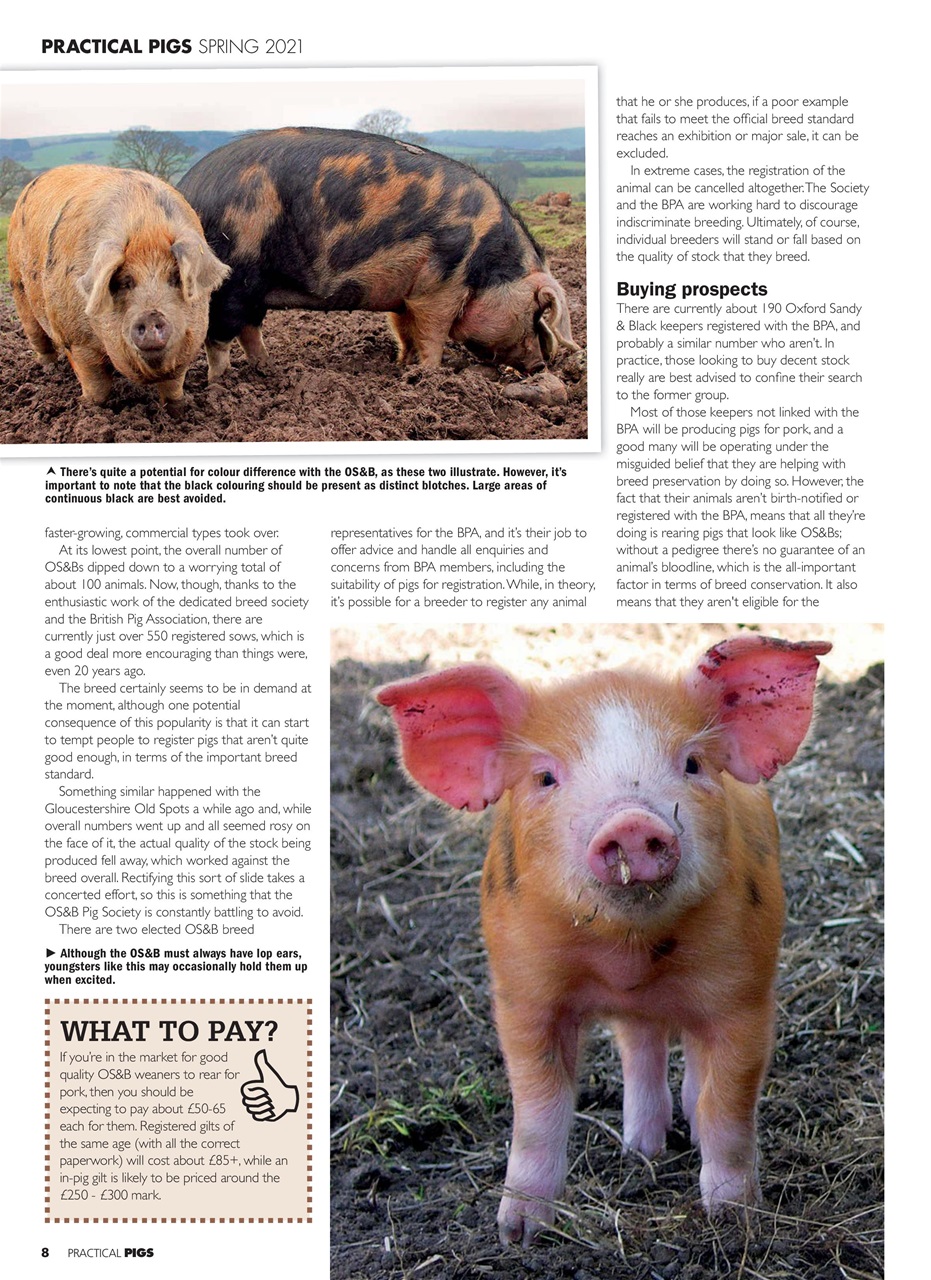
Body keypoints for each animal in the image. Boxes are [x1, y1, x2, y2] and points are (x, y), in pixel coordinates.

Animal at [7, 165, 229, 411]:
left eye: (175, 278)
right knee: (37, 336)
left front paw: (178, 410)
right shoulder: (78, 341)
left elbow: (173, 385)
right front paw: (89, 407)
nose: (151, 315)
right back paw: (49, 369)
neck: (145, 223)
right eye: (125, 282)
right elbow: (96, 384)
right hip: (18, 285)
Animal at [176, 128, 579, 383]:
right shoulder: (440, 288)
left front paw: (403, 366)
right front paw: (432, 375)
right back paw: (222, 385)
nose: (541, 365)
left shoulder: (406, 294)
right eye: (537, 312)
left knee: (249, 329)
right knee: (220, 336)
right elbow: (433, 334)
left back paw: (267, 370)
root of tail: (187, 188)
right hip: (233, 276)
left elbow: (405, 331)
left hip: (253, 289)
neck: (485, 263)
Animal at [375, 635, 831, 1245]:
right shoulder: (523, 994)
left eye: (692, 763)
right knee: (640, 1046)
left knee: (684, 1058)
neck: (628, 955)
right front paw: (519, 1233)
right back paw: (640, 1149)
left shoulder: (746, 993)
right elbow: (539, 1110)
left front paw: (735, 1219)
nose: (632, 823)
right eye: (545, 777)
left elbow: (728, 1104)